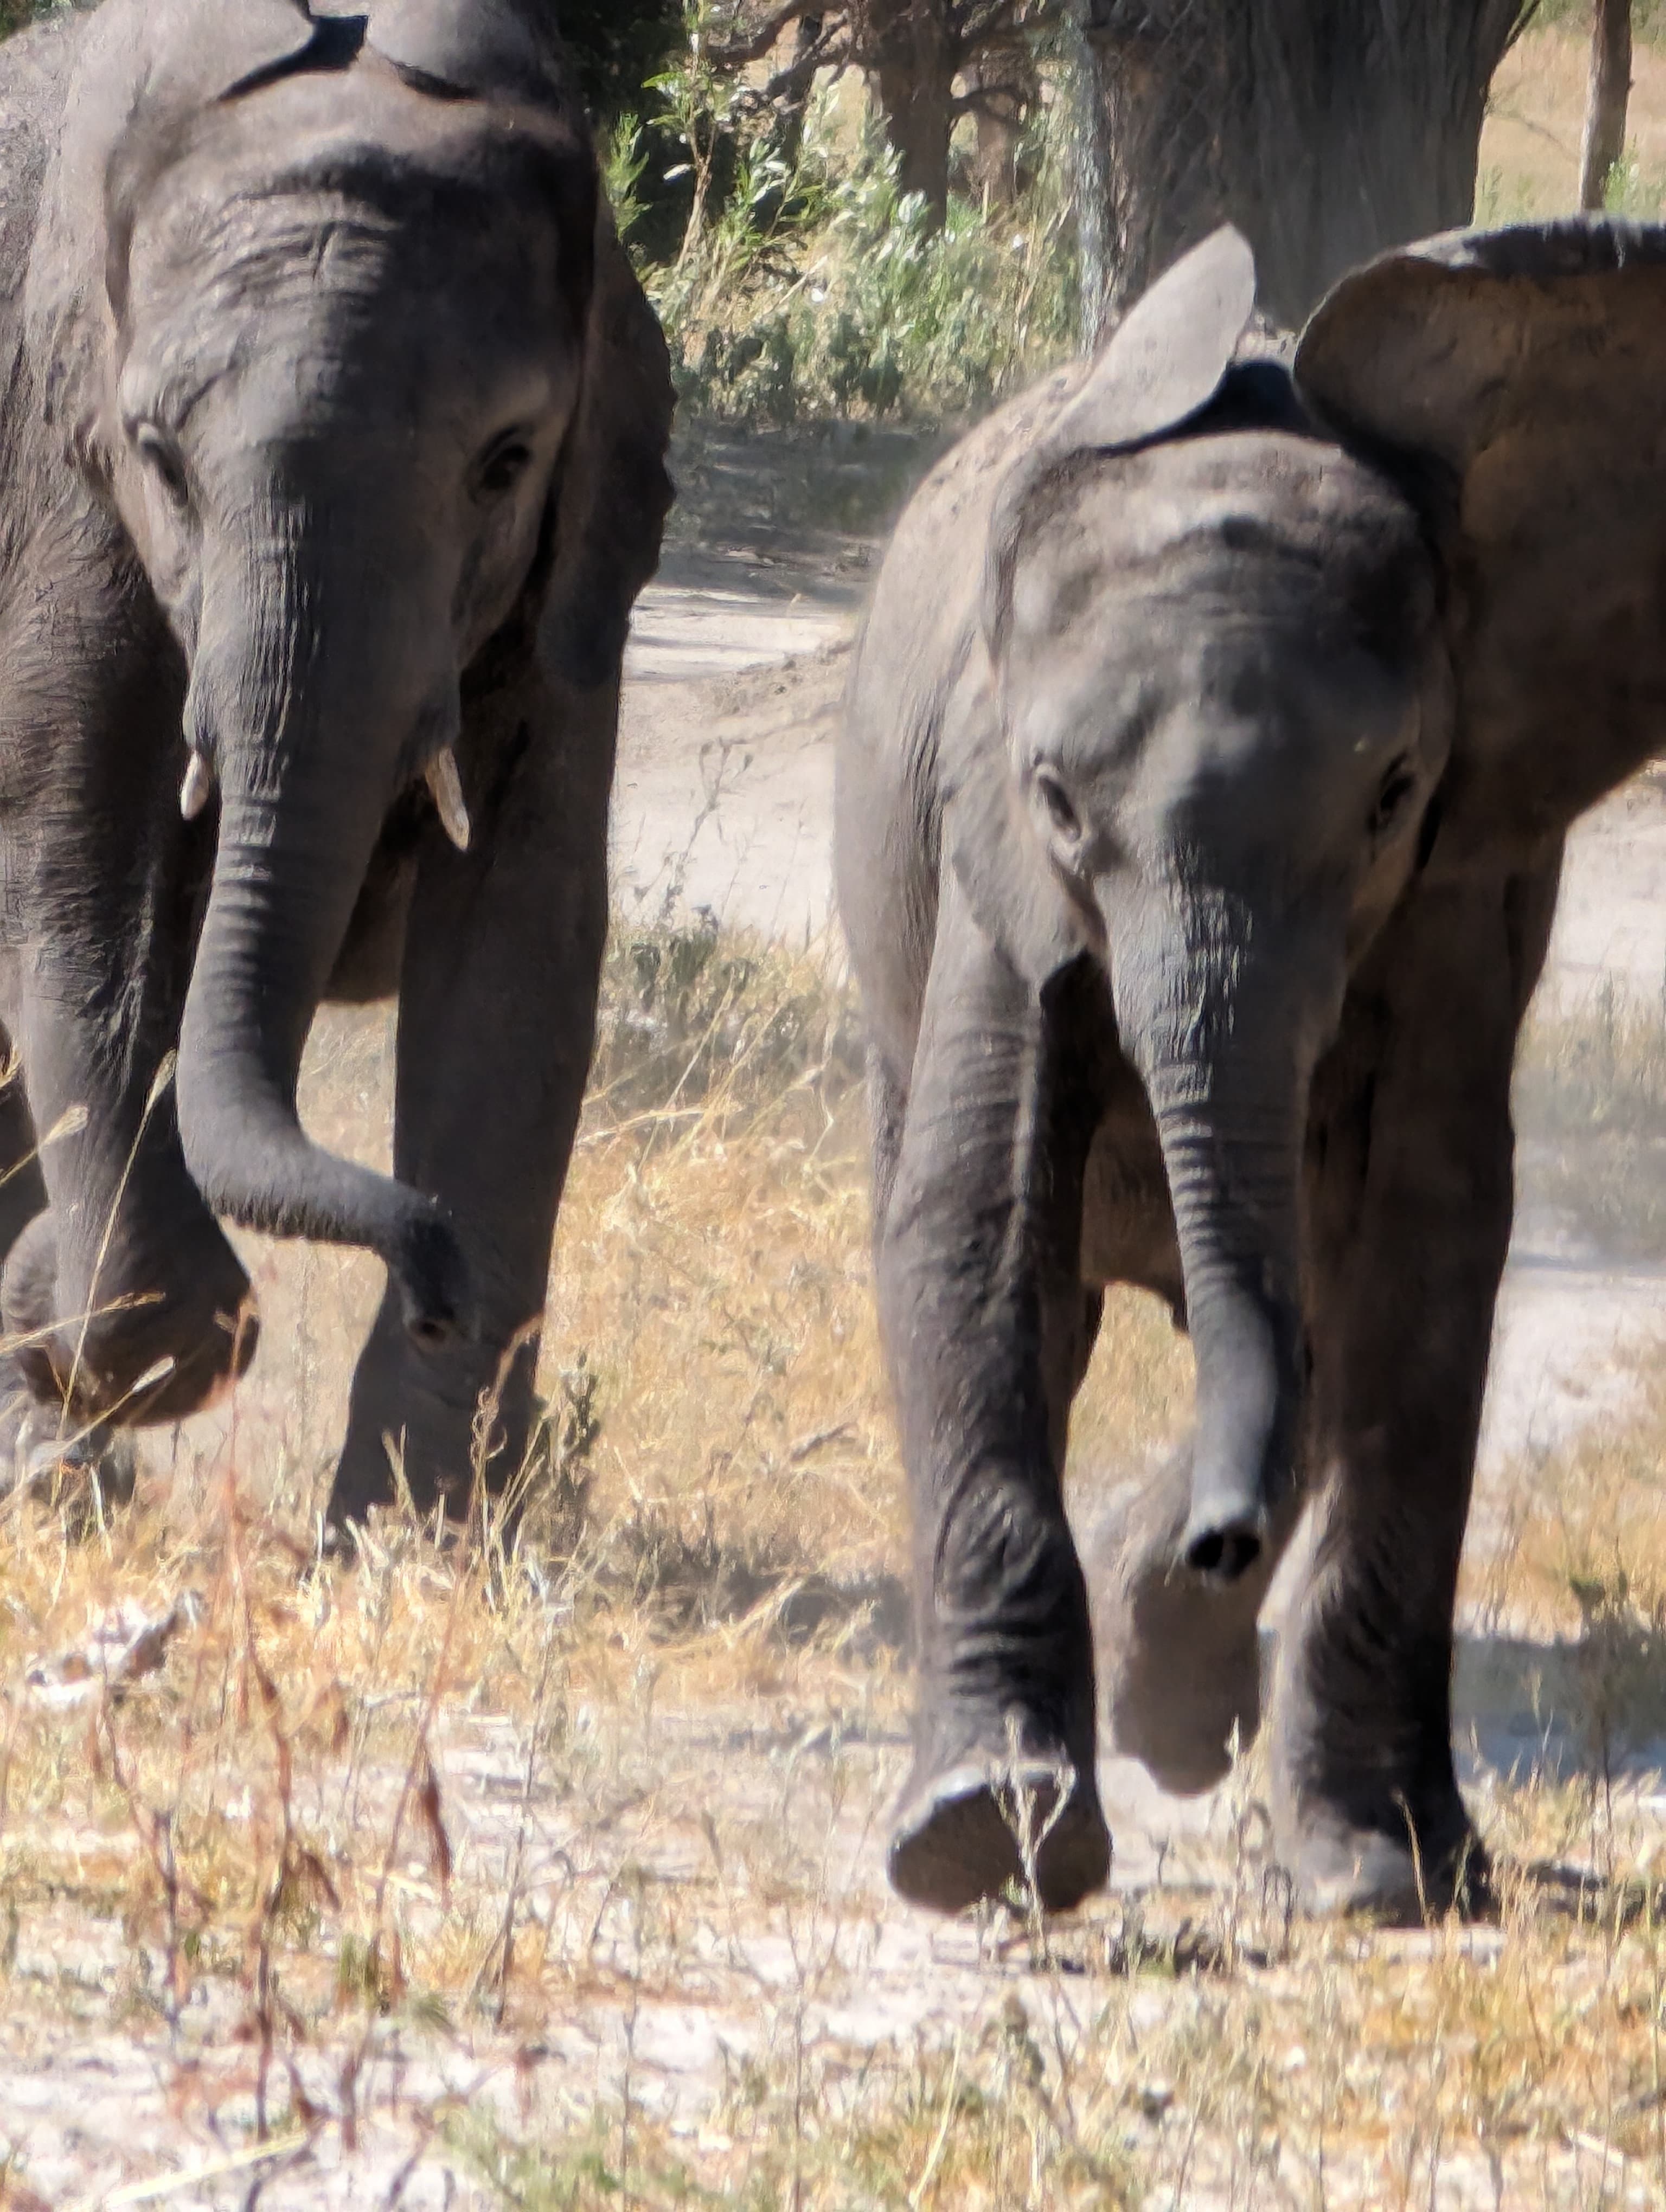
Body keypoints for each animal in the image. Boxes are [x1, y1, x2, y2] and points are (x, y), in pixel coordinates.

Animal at [0, 0, 672, 1519]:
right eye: (159, 461)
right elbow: (75, 894)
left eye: (505, 462)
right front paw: (54, 1305)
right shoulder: (63, 506)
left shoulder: (571, 574)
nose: (429, 1275)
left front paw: (412, 1531)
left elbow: (521, 951)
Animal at [836, 220, 1666, 1918]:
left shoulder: (1462, 891)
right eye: (1056, 800)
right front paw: (979, 1838)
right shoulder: (986, 857)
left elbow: (1421, 1258)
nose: (1218, 1539)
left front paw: (1379, 1875)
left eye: (1391, 795)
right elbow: (969, 1227)